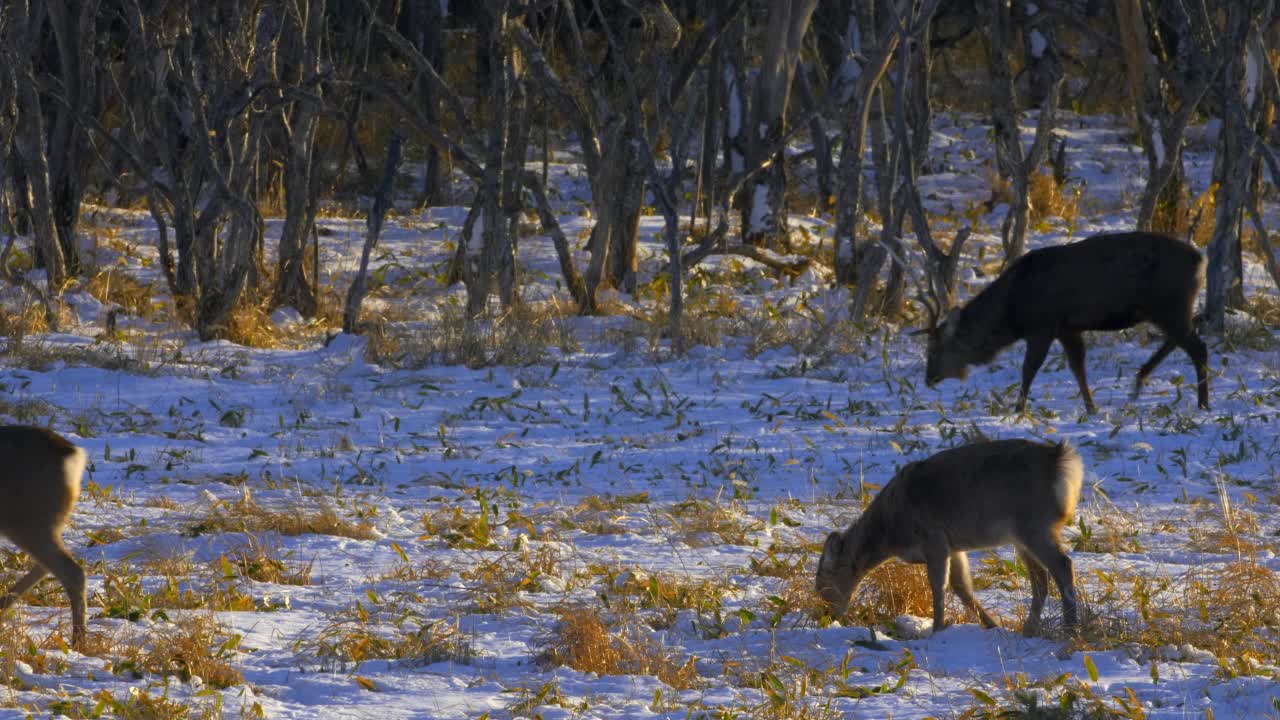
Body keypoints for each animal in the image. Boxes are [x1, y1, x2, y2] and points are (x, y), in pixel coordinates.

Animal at [819, 438, 1080, 632]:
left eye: (824, 577)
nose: (828, 614)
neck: (891, 532)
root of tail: (1061, 458)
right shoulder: (952, 545)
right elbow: (961, 586)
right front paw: (991, 625)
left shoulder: (933, 536)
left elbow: (938, 586)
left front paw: (937, 629)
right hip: (1022, 536)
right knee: (1041, 578)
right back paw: (1030, 629)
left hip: (1034, 525)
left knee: (1062, 566)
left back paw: (1070, 629)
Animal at [921, 228, 1208, 409]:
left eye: (934, 350)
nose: (928, 379)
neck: (1011, 313)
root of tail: (1200, 260)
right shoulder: (1067, 328)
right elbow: (1078, 367)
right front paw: (1091, 408)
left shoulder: (1043, 325)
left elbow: (1029, 369)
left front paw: (1017, 409)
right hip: (1167, 308)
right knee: (1184, 335)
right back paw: (1140, 379)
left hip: (1168, 304)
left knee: (1198, 346)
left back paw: (1202, 403)